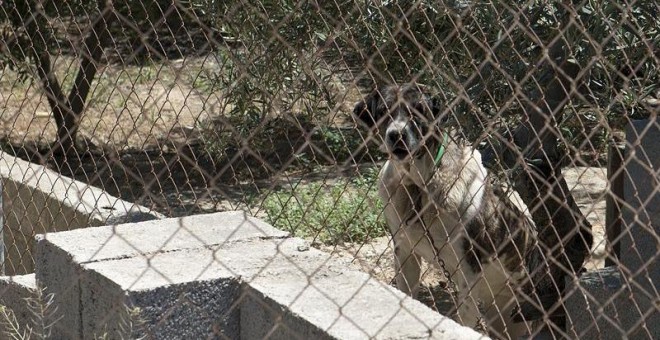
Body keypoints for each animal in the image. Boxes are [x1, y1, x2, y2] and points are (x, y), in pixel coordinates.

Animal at [356, 83, 536, 338]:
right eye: (384, 111)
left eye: (419, 111)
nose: (396, 135)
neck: (418, 184)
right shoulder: (405, 251)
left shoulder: (468, 269)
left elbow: (464, 320)